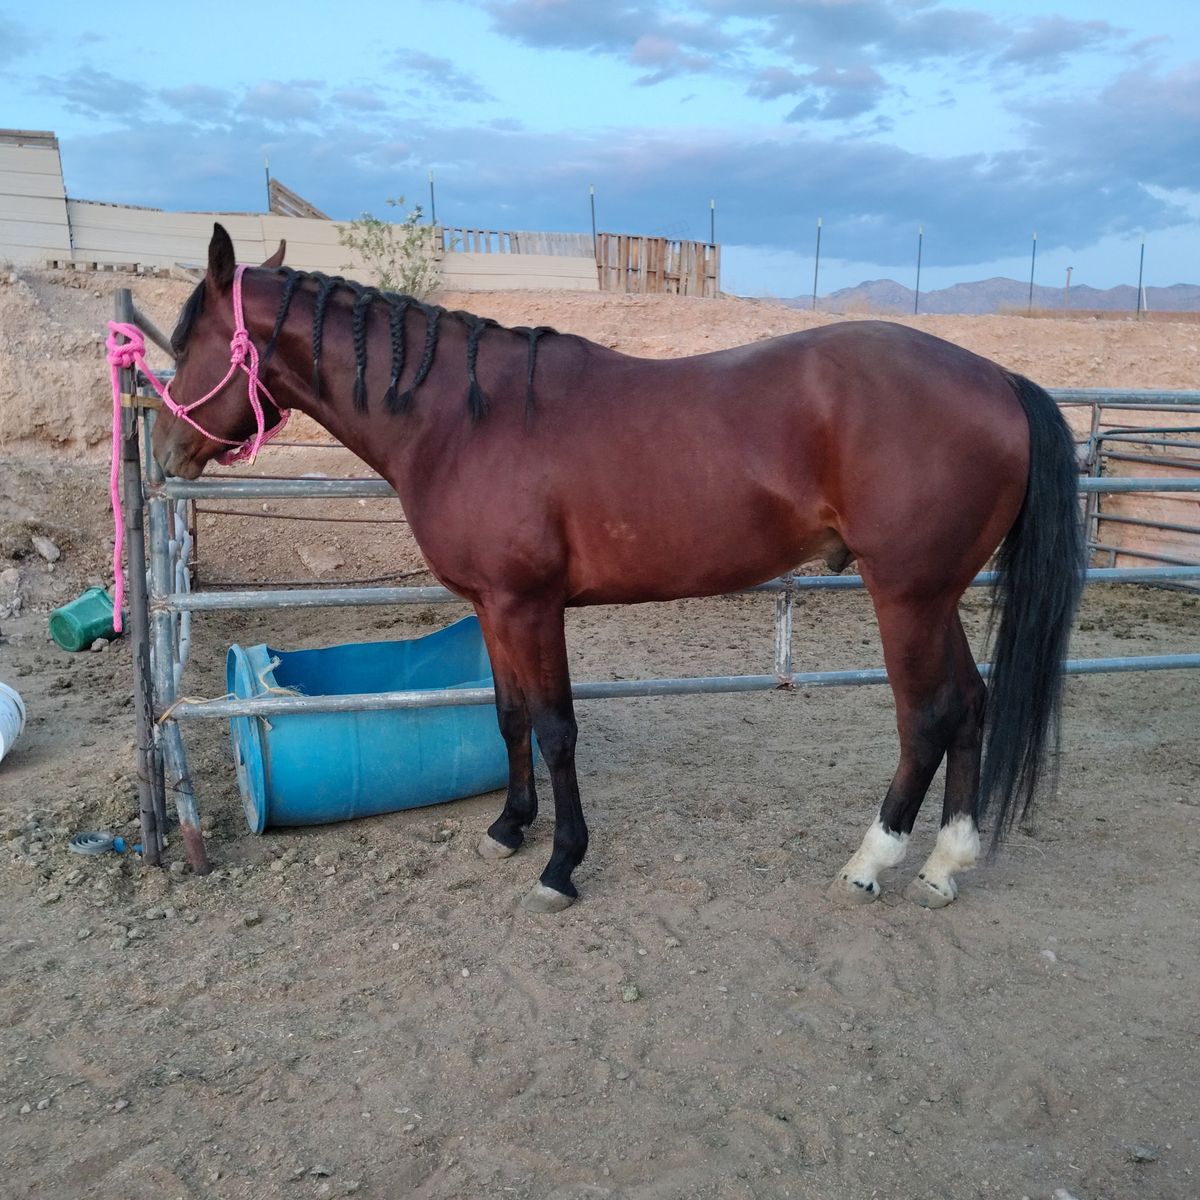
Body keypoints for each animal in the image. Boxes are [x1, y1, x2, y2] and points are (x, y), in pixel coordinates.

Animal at [152, 224, 1084, 914]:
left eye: (188, 341)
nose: (162, 449)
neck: (462, 419)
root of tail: (998, 380)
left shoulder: (531, 606)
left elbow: (558, 728)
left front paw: (561, 865)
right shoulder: (493, 608)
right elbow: (510, 718)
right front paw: (509, 828)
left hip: (906, 595)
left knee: (927, 717)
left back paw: (872, 862)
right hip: (938, 595)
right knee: (970, 704)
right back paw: (945, 864)